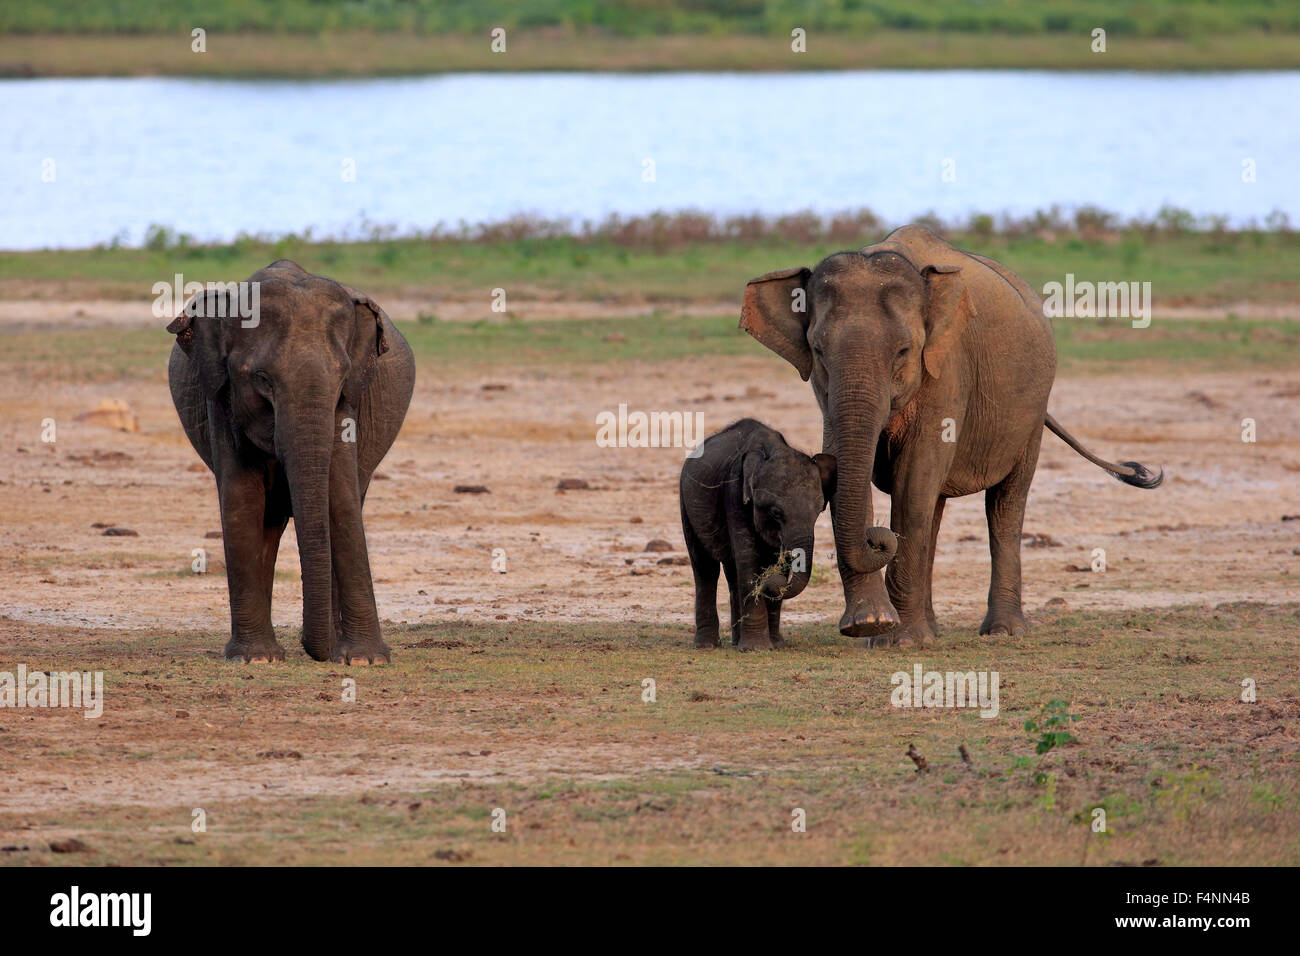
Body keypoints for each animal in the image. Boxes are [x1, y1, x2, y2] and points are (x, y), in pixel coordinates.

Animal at [165, 261, 413, 665]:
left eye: (342, 377)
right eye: (262, 379)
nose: (315, 652)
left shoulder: (350, 401)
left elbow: (340, 496)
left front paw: (365, 659)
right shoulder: (220, 396)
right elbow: (242, 496)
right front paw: (254, 659)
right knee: (268, 522)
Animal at [676, 418, 837, 650]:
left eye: (818, 512)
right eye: (776, 513)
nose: (769, 582)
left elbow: (781, 564)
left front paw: (776, 645)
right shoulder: (734, 492)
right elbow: (749, 558)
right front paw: (756, 648)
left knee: (731, 572)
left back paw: (736, 642)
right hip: (685, 503)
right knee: (705, 568)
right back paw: (707, 645)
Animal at [738, 222, 1164, 650]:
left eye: (904, 351)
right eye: (818, 351)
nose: (876, 538)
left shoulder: (948, 370)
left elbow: (914, 485)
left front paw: (899, 639)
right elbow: (859, 476)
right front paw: (871, 626)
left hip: (1032, 411)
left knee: (1004, 504)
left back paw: (1002, 630)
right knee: (936, 508)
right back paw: (931, 630)